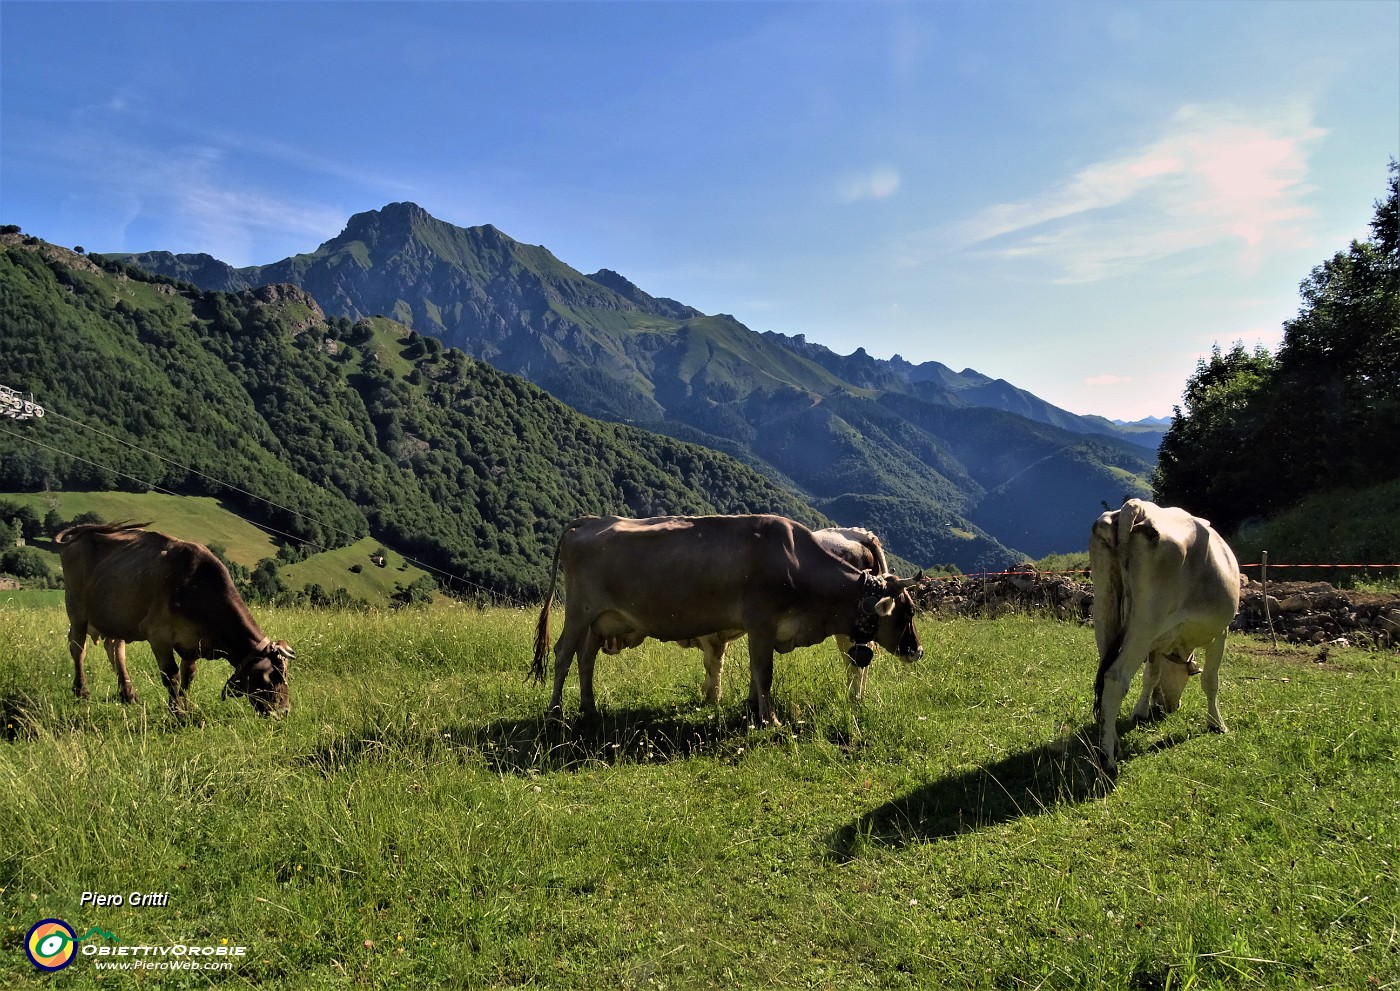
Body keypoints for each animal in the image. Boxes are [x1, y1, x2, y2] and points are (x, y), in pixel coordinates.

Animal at [56, 523, 292, 716]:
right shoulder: (158, 635)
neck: (196, 586)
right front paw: (177, 711)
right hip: (77, 612)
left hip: (116, 617)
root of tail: (79, 531)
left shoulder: (193, 642)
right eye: (272, 677)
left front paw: (185, 706)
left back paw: (128, 693)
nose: (284, 711)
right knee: (78, 649)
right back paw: (82, 691)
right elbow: (172, 675)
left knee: (115, 649)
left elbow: (189, 676)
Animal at [529, 515, 924, 722]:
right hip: (579, 613)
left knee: (585, 660)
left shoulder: (757, 630)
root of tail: (587, 522)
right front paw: (770, 719)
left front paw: (751, 710)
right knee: (563, 654)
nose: (917, 651)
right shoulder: (761, 624)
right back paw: (555, 714)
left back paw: (589, 709)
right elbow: (762, 672)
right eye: (908, 611)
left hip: (599, 622)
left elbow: (750, 670)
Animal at [1086, 498, 1243, 772]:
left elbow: (1151, 675)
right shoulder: (1219, 634)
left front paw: (1141, 710)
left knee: (1104, 679)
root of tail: (1136, 506)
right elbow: (1210, 681)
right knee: (1116, 678)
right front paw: (1216, 723)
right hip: (1145, 623)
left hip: (1105, 611)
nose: (1170, 707)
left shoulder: (1156, 644)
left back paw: (1113, 742)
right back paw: (1108, 759)